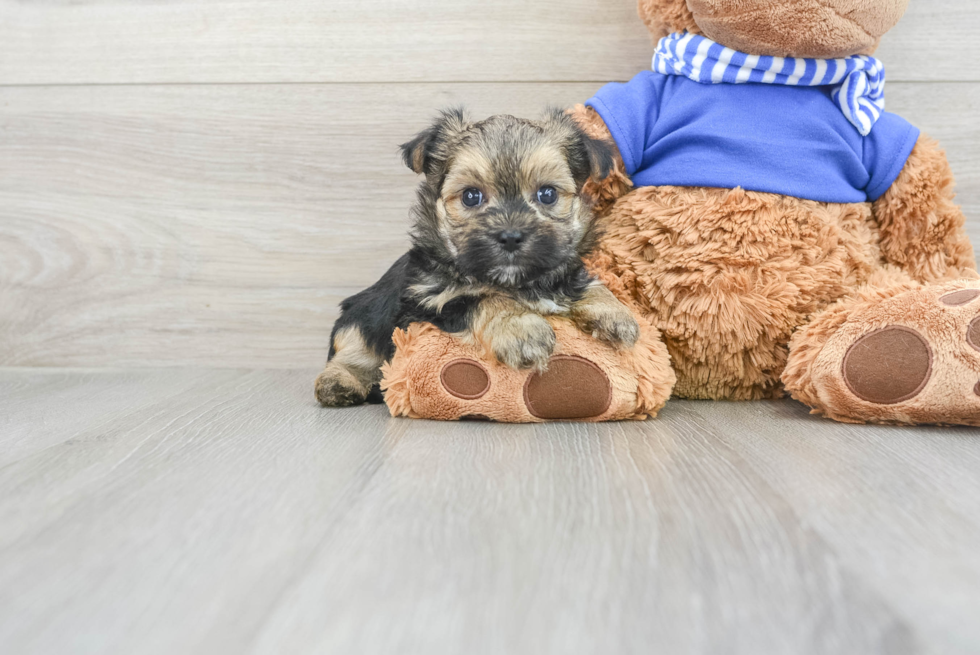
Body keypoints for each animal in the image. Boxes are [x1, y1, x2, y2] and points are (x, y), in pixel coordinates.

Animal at [316, 108, 644, 408]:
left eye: (547, 194)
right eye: (471, 196)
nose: (510, 236)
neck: (516, 282)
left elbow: (587, 283)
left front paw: (615, 314)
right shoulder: (424, 305)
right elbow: (482, 298)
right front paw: (521, 330)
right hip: (360, 317)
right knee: (352, 353)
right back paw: (339, 383)